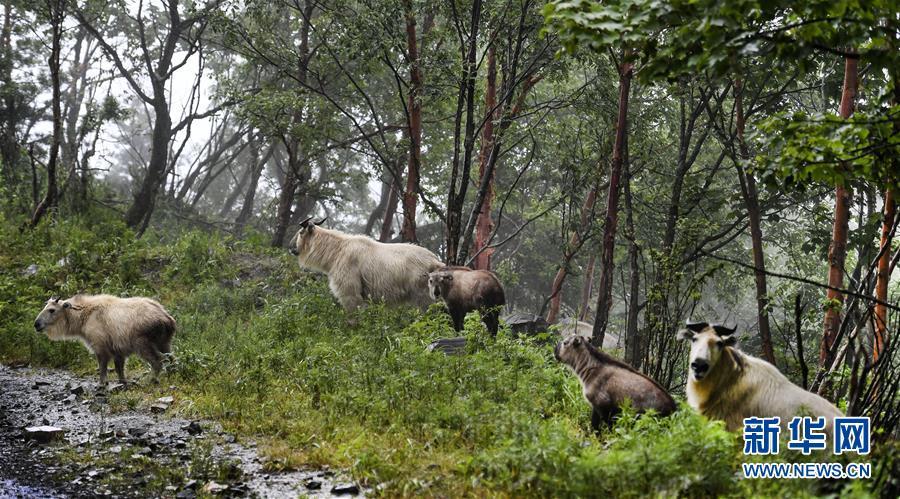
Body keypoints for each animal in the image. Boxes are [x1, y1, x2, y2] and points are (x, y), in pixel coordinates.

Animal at [33, 294, 175, 388]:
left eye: (52, 310)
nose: (36, 324)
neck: (84, 316)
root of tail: (166, 318)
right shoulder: (118, 349)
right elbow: (119, 368)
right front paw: (122, 382)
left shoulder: (100, 345)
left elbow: (102, 366)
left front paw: (102, 383)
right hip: (164, 342)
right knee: (171, 358)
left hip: (142, 343)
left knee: (157, 361)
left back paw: (150, 380)